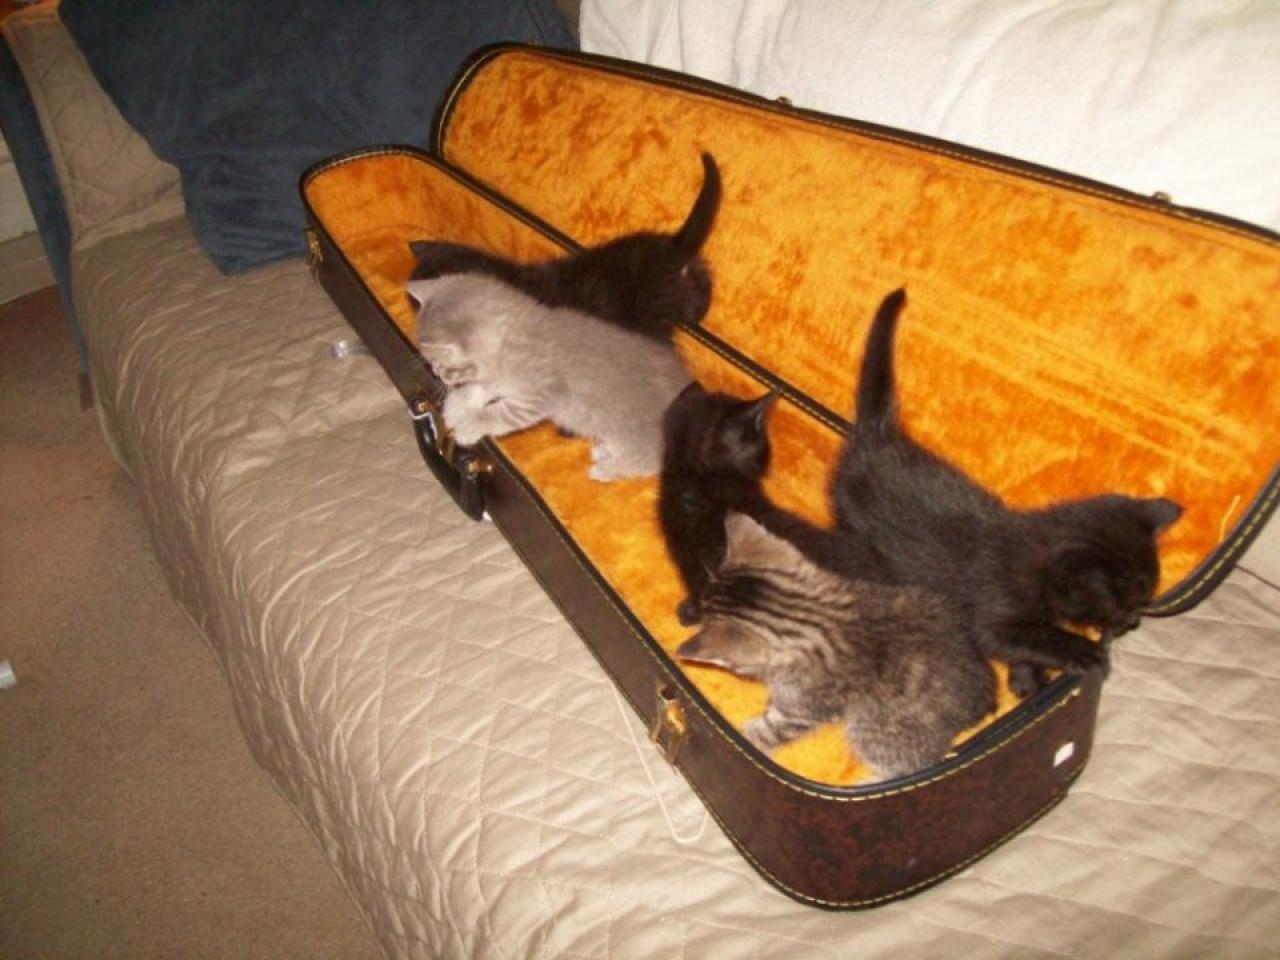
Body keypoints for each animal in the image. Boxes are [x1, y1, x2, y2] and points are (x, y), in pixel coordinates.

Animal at [408, 272, 691, 480]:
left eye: (439, 364)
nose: (437, 374)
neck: (511, 340)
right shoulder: (498, 376)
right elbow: (479, 388)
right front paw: (456, 406)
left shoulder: (541, 393)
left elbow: (499, 413)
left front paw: (470, 425)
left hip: (637, 433)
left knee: (649, 461)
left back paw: (608, 468)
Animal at [829, 287, 1182, 696]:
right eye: (1123, 604)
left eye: (1141, 602)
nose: (1133, 622)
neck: (1034, 561)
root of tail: (878, 436)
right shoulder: (993, 611)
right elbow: (1024, 636)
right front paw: (1080, 651)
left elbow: (1027, 647)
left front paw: (1027, 680)